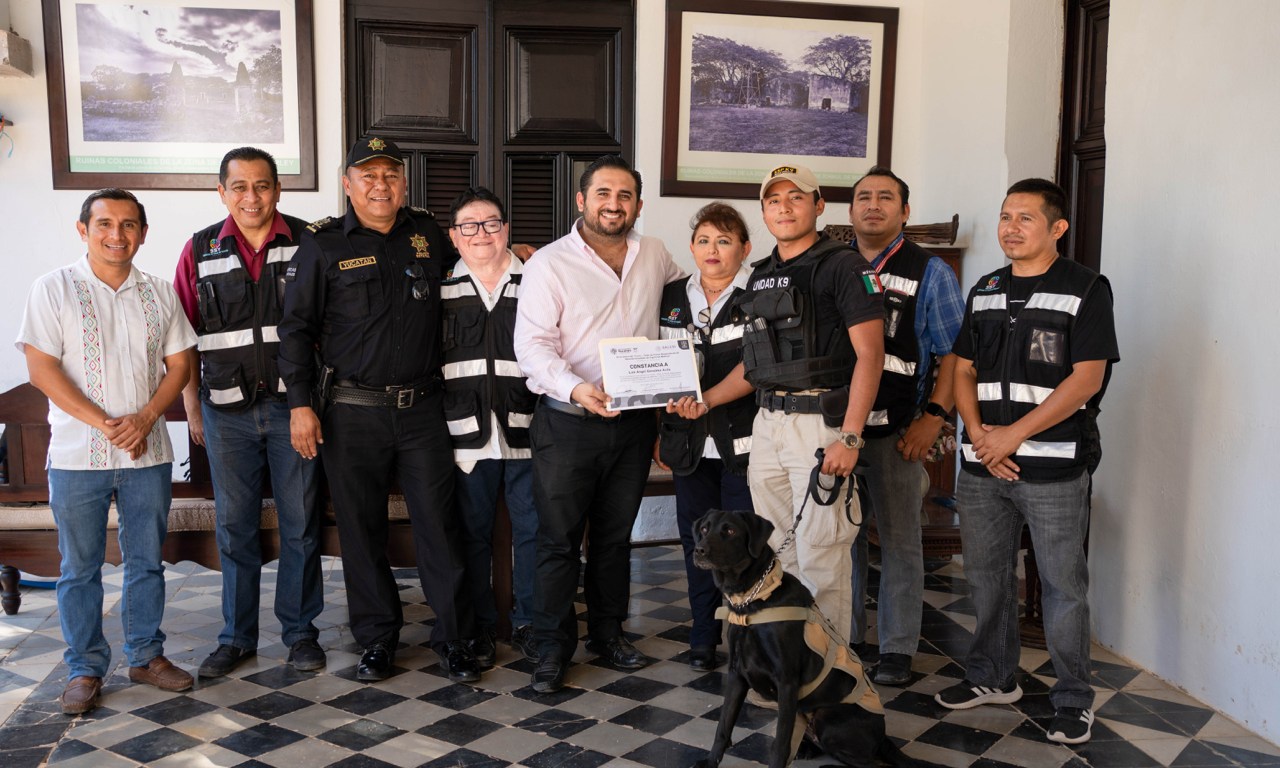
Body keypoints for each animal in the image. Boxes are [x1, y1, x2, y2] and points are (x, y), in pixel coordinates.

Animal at [691, 509, 943, 768]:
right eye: (704, 529)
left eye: (730, 530)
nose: (699, 550)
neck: (755, 599)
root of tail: (883, 737)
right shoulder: (737, 674)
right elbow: (723, 726)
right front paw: (709, 762)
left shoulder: (786, 681)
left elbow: (780, 743)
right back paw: (807, 749)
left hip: (828, 718)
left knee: (869, 764)